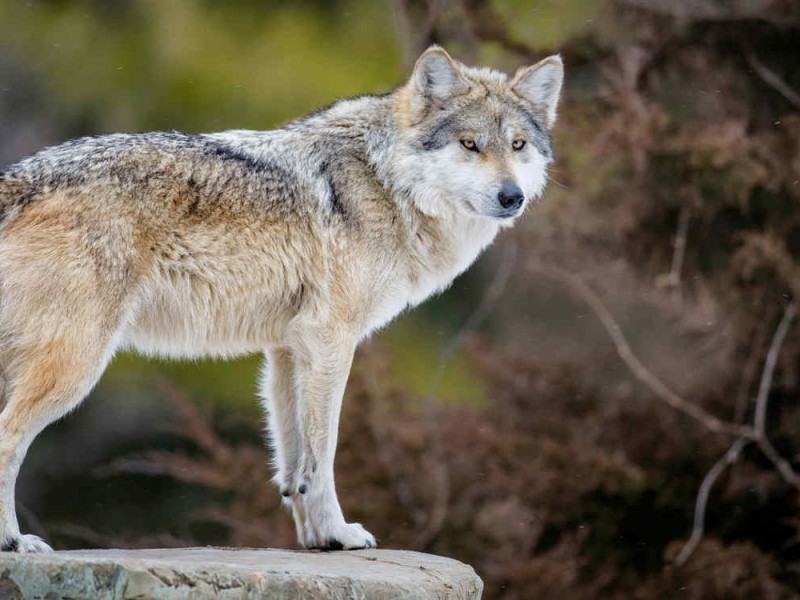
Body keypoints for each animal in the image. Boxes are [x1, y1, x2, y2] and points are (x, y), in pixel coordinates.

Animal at [0, 47, 564, 552]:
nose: (511, 197)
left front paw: (316, 540)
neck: (385, 181)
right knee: (8, 440)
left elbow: (295, 466)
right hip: (76, 366)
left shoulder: (288, 349)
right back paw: (14, 541)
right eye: (470, 144)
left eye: (517, 145)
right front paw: (340, 532)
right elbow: (324, 453)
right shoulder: (330, 340)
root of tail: (19, 173)